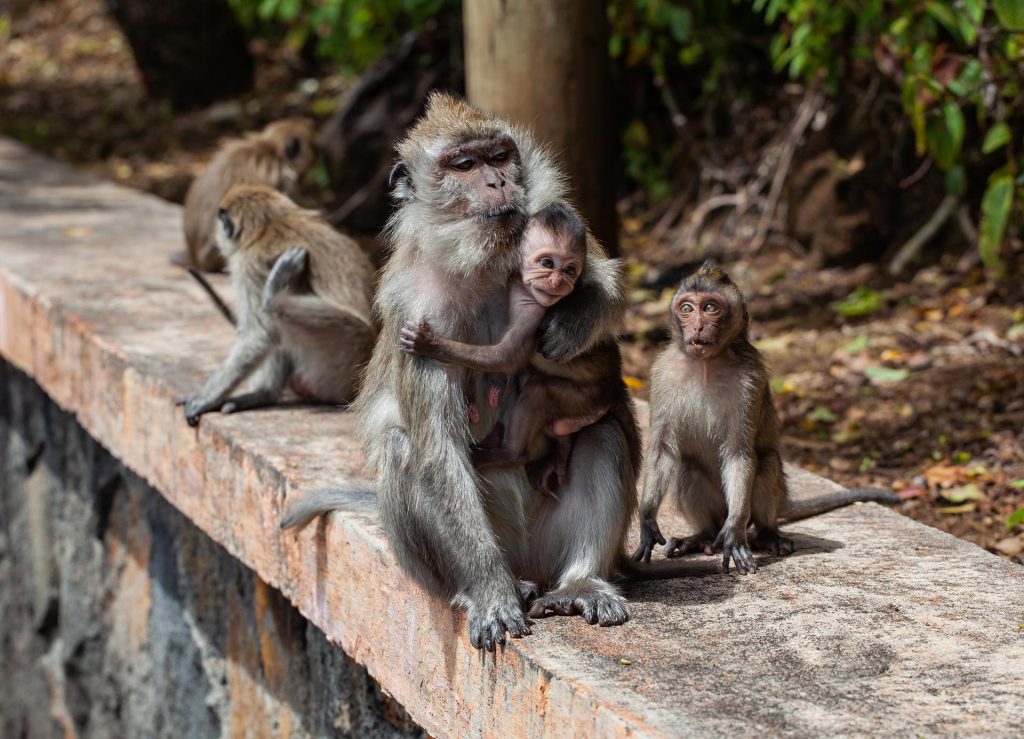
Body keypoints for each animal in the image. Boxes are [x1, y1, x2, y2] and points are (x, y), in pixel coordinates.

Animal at [182, 183, 375, 426]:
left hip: (340, 359)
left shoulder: (248, 265)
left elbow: (260, 335)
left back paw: (274, 298)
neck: (271, 222)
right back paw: (264, 395)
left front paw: (206, 398)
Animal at [397, 201, 617, 493]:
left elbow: (507, 357)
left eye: (570, 269)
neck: (522, 288)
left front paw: (430, 345)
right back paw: (560, 450)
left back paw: (513, 454)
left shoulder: (534, 312)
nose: (558, 282)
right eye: (547, 263)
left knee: (538, 391)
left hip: (586, 398)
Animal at [631, 260, 901, 574]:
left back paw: (767, 534)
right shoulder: (662, 373)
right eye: (686, 308)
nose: (697, 326)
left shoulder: (750, 379)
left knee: (766, 462)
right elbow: (662, 450)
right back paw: (702, 537)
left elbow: (740, 453)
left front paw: (734, 532)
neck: (707, 364)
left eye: (710, 307)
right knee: (689, 467)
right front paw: (647, 520)